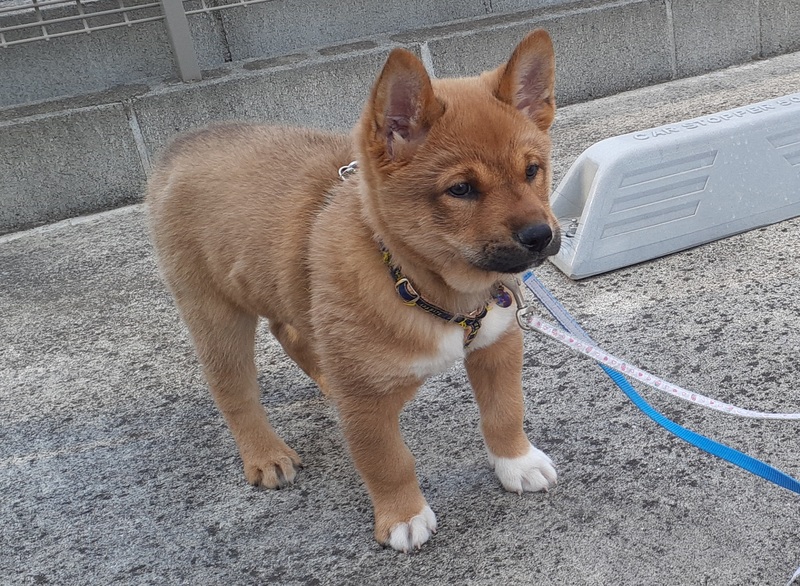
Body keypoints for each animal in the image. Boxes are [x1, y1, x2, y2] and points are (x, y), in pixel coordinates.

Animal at [146, 29, 561, 552]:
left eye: (531, 170)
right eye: (461, 189)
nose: (540, 236)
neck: (419, 284)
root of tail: (181, 145)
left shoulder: (497, 346)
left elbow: (505, 412)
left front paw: (516, 463)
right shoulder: (367, 403)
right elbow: (387, 462)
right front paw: (403, 515)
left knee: (291, 331)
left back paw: (323, 379)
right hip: (215, 314)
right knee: (233, 388)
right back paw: (264, 452)